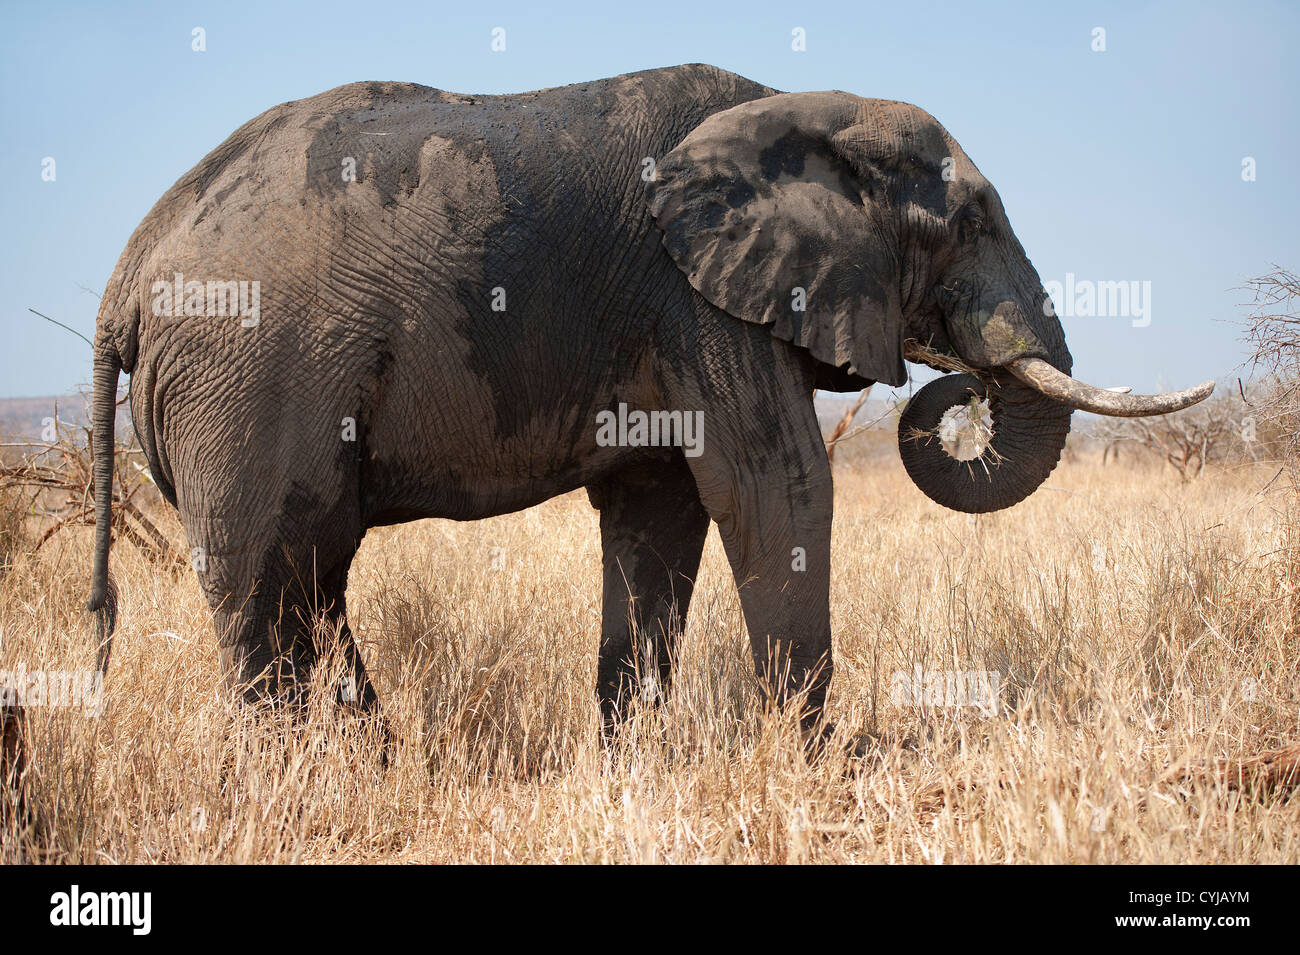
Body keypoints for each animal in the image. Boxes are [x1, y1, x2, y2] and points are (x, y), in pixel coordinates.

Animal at [86, 63, 1211, 743]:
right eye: (970, 220)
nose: (964, 380)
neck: (801, 110)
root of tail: (128, 274)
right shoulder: (702, 306)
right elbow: (774, 489)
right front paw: (822, 756)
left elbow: (657, 515)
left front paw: (632, 756)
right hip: (249, 376)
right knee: (270, 576)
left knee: (312, 574)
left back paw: (377, 760)